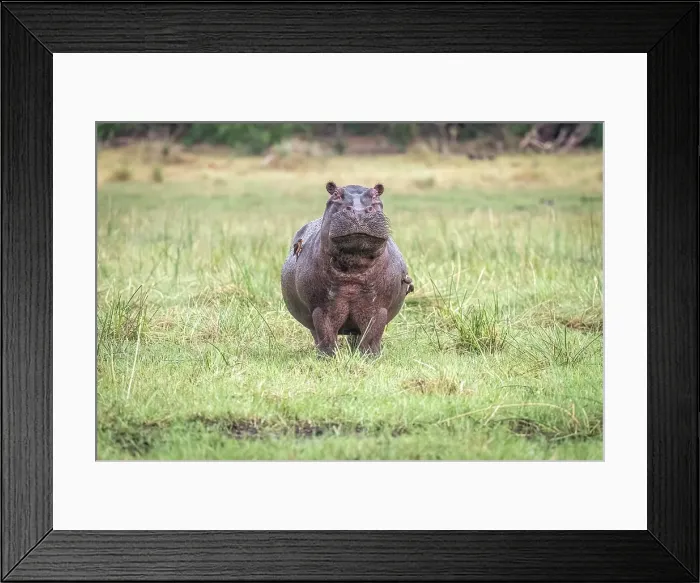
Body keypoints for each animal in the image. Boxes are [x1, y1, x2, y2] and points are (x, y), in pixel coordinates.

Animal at [281, 181, 414, 356]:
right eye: (335, 194)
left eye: (375, 195)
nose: (359, 211)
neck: (354, 267)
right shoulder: (321, 308)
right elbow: (326, 333)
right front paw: (329, 357)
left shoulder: (378, 308)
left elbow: (372, 335)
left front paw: (370, 356)